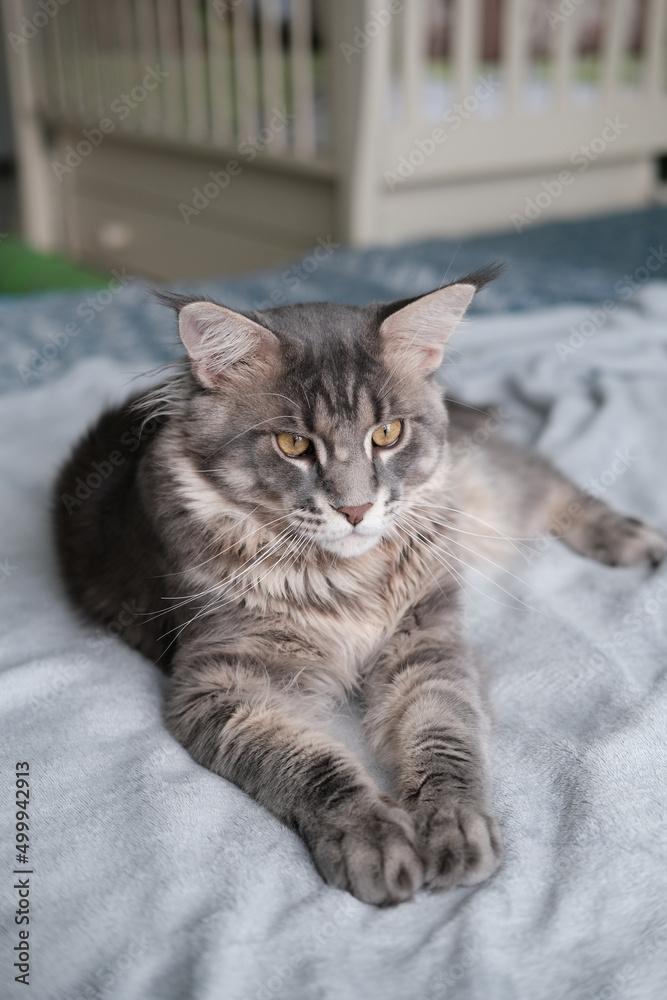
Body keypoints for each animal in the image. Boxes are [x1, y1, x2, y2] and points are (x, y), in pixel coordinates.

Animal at [53, 266, 667, 908]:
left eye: (388, 433)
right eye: (293, 445)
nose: (355, 509)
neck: (346, 575)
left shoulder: (426, 642)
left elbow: (443, 736)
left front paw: (453, 825)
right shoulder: (224, 683)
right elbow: (314, 768)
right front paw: (374, 839)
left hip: (490, 495)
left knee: (550, 482)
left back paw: (631, 537)